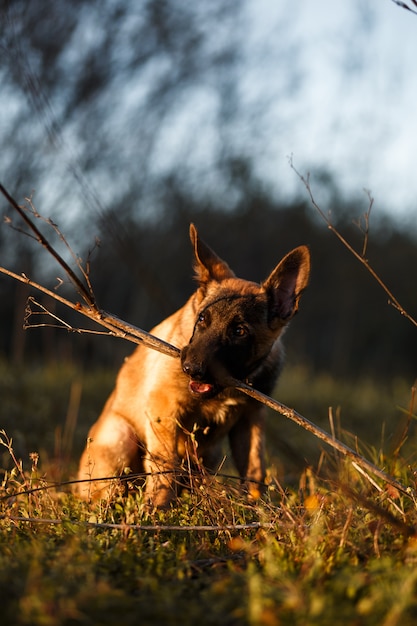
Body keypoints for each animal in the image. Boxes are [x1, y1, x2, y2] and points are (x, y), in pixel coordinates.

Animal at [75, 224, 308, 508]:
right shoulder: (164, 407)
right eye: (202, 319)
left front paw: (257, 508)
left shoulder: (251, 418)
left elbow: (254, 469)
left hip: (209, 454)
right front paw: (159, 509)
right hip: (121, 437)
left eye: (240, 331)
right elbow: (165, 465)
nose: (190, 368)